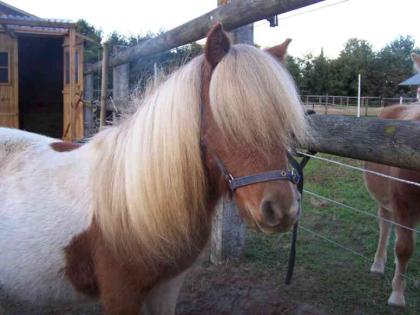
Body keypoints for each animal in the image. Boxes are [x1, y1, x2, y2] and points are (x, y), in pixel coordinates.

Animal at [0, 25, 308, 315]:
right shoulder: (121, 295)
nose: (282, 210)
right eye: (227, 117)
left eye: (283, 123)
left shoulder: (166, 287)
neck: (132, 202)